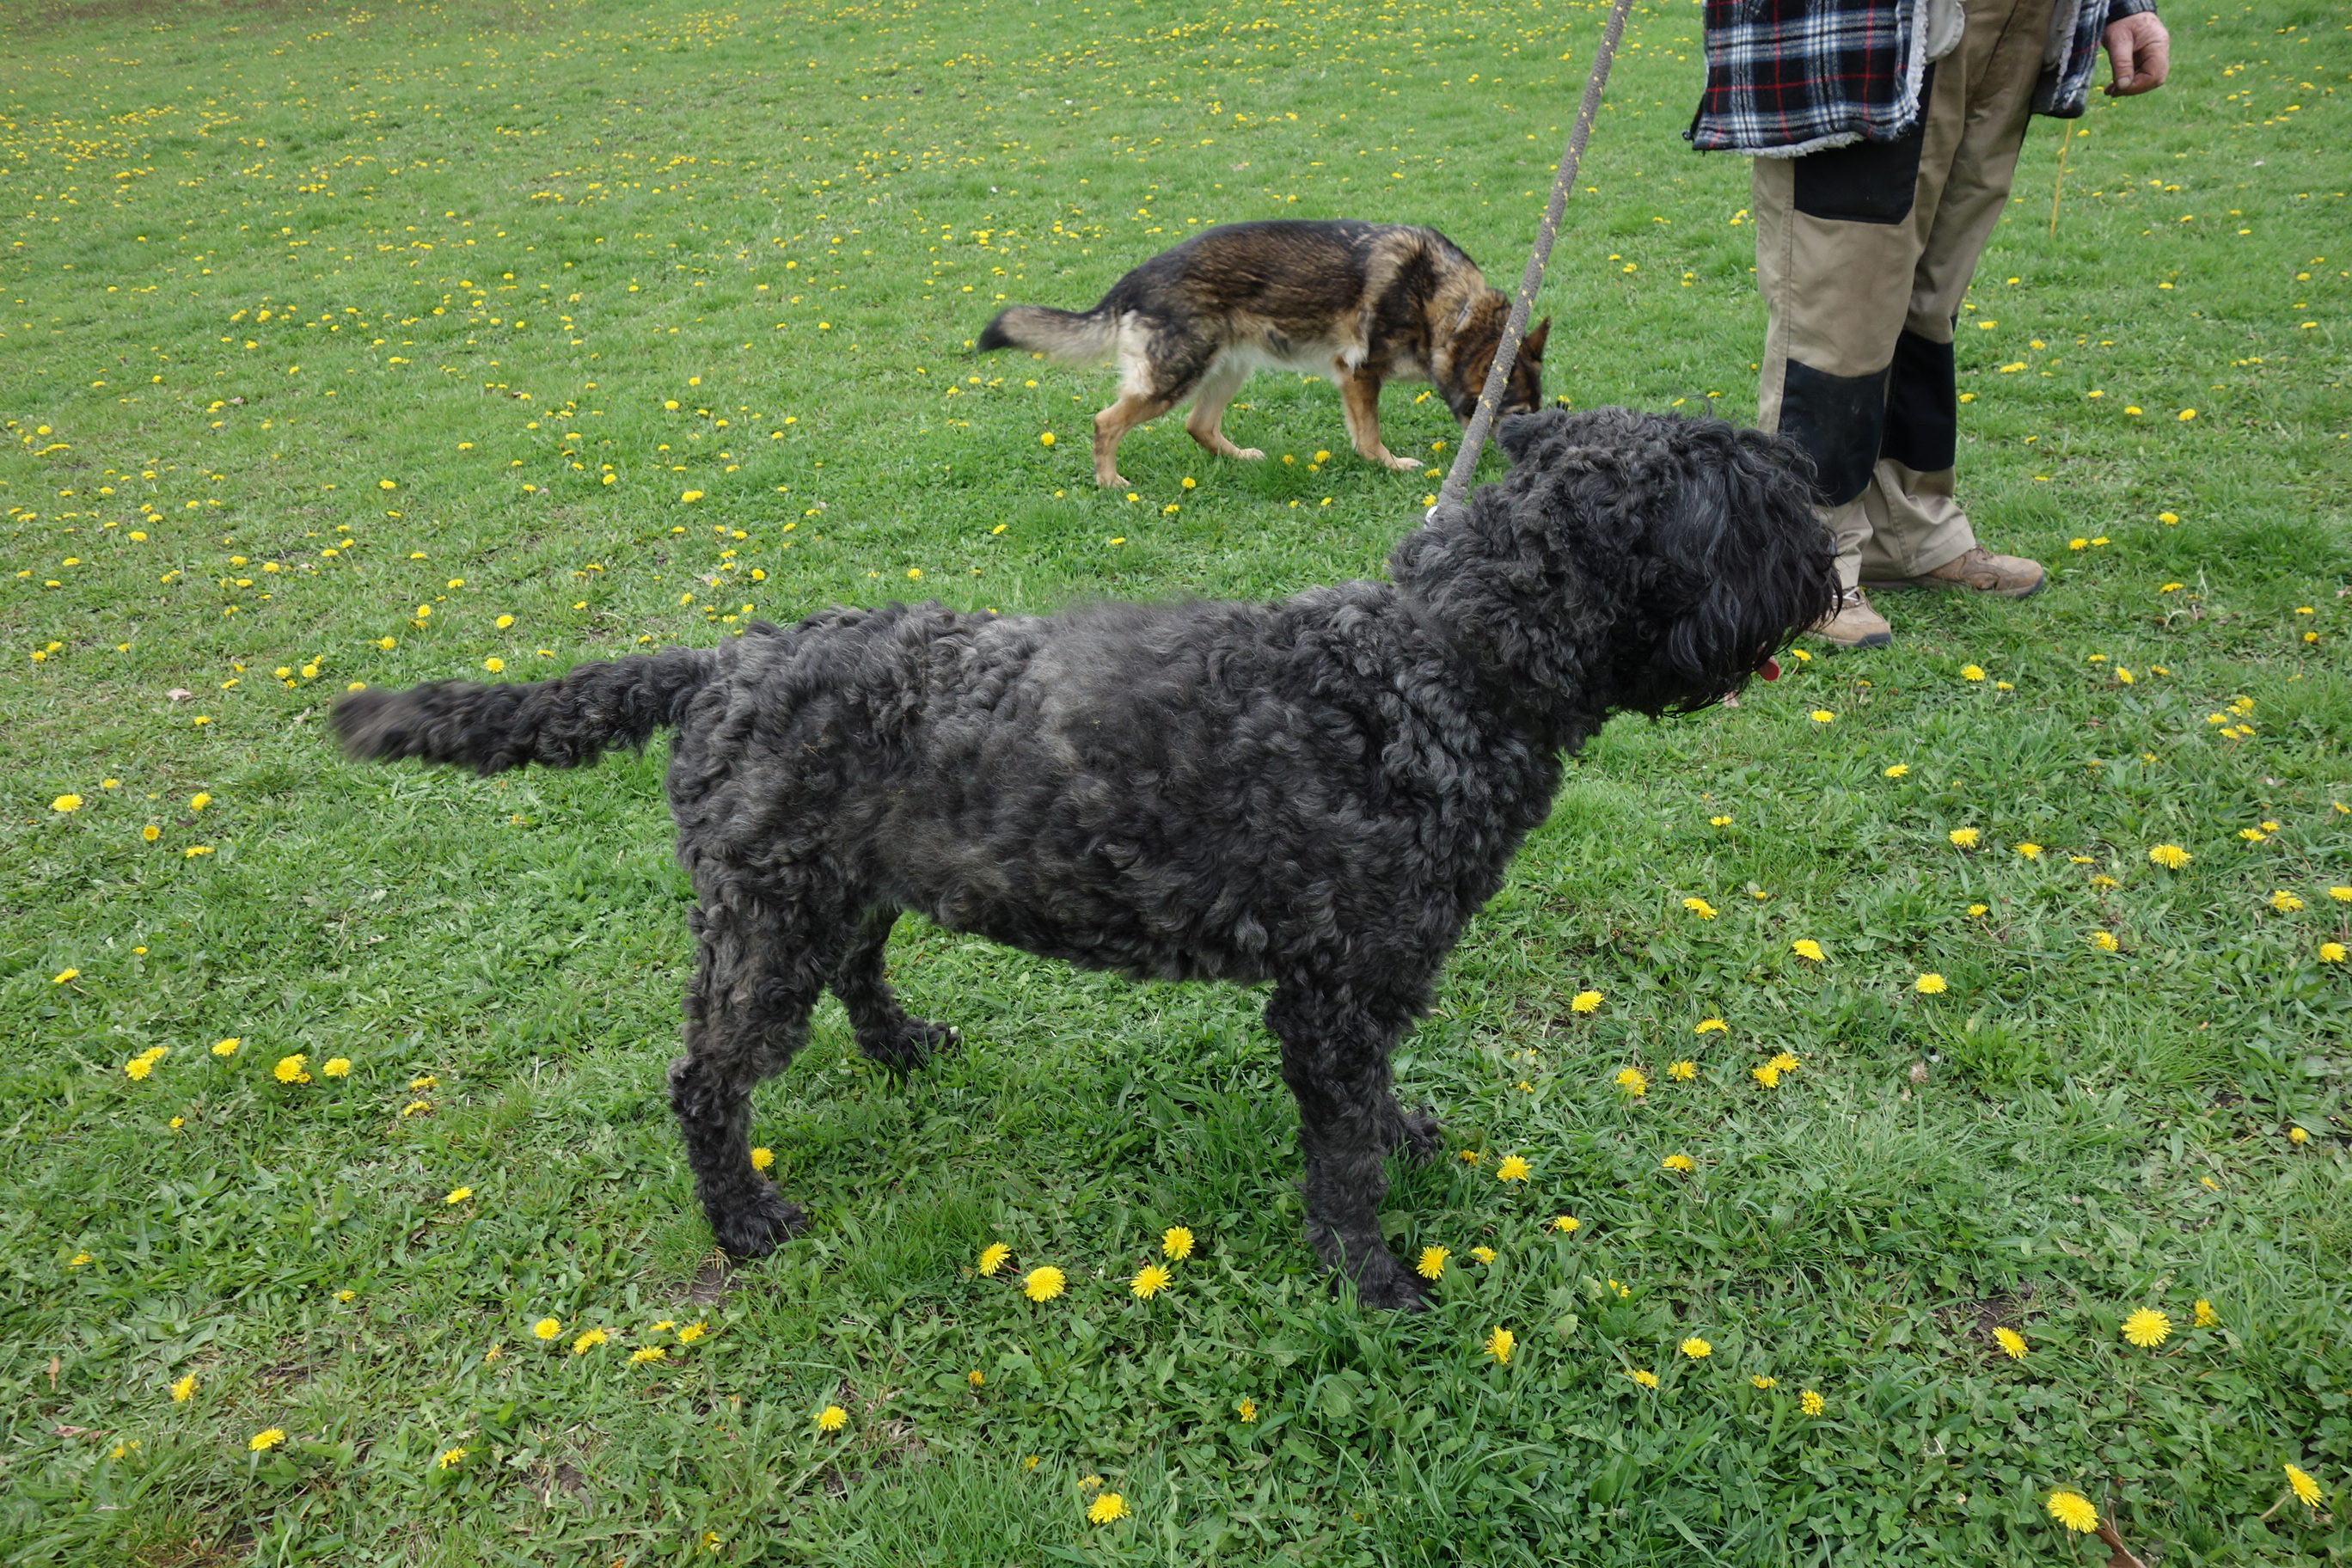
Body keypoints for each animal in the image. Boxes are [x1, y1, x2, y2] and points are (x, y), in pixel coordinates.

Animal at [333, 408, 1833, 1310]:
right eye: (1758, 509)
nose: (1829, 567)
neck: (1436, 667)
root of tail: (721, 664)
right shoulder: (1333, 1003)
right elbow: (1341, 1160)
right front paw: (1373, 1279)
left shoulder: (1369, 988)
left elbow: (1379, 1115)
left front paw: (1408, 1148)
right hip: (765, 923)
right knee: (706, 1083)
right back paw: (743, 1222)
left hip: (841, 892)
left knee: (860, 977)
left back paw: (904, 1050)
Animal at [977, 219, 1549, 488]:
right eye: (1518, 415)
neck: (1450, 310)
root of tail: (1135, 279)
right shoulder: (1358, 374)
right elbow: (1369, 437)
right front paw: (1390, 465)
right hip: (1175, 376)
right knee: (1105, 422)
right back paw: (1111, 482)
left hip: (1228, 368)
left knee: (1198, 426)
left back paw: (1239, 459)